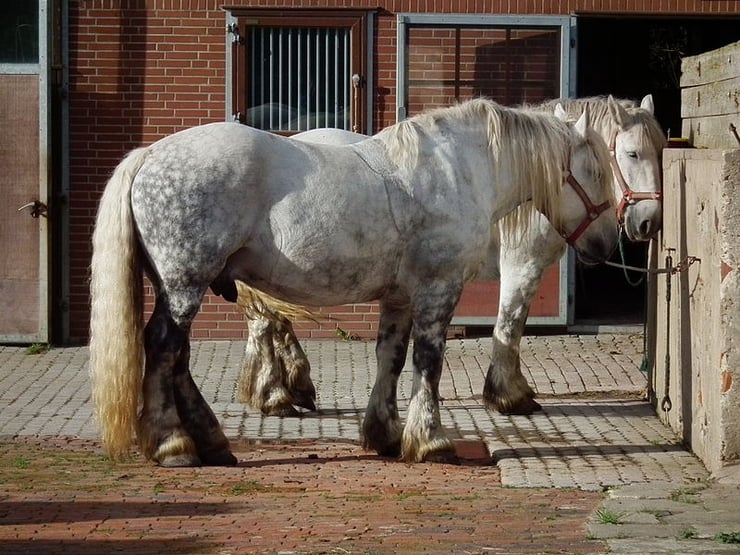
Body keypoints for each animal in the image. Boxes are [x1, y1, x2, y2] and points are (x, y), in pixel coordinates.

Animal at [89, 98, 618, 467]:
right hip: (184, 283)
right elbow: (429, 362)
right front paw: (431, 440)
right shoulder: (439, 288)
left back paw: (212, 442)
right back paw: (173, 445)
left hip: (185, 285)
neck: (458, 171)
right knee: (164, 348)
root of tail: (149, 154)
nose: (608, 246)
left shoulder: (400, 297)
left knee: (178, 358)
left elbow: (391, 358)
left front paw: (384, 434)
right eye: (597, 168)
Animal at [237, 95, 665, 419]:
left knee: (271, 321)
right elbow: (509, 325)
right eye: (630, 154)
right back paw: (277, 394)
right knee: (266, 320)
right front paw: (508, 396)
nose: (649, 222)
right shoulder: (521, 267)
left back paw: (289, 389)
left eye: (662, 152)